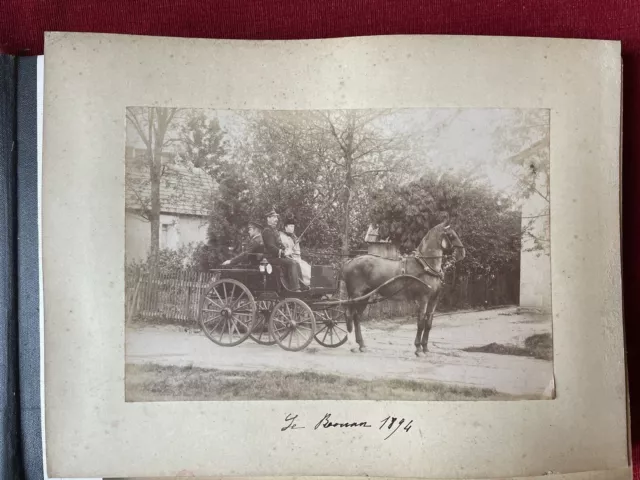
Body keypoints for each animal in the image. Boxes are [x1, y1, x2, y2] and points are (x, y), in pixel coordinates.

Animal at [340, 218, 464, 356]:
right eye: (451, 235)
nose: (462, 253)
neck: (425, 266)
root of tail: (349, 262)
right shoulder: (423, 299)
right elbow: (421, 323)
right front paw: (418, 349)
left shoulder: (433, 300)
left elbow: (428, 323)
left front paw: (425, 348)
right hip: (355, 295)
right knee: (349, 315)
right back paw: (352, 345)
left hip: (365, 296)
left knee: (356, 317)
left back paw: (361, 345)